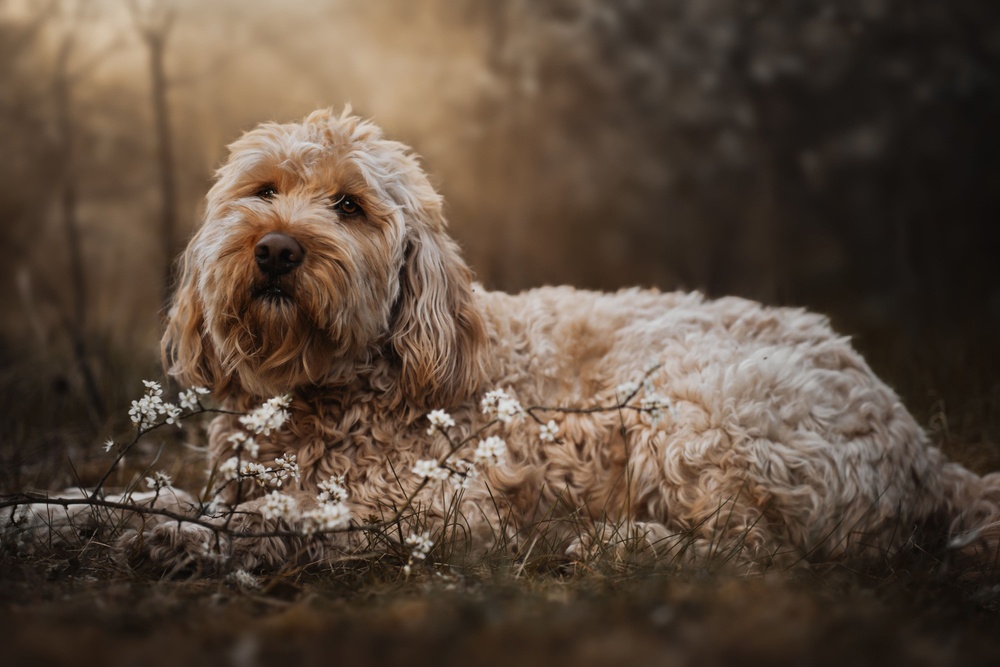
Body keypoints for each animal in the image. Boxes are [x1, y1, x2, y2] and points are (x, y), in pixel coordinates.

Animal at [121, 108, 996, 576]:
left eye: (349, 205)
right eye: (263, 190)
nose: (275, 249)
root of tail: (924, 451)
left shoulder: (445, 508)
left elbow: (294, 511)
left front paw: (189, 536)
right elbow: (182, 498)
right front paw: (118, 513)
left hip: (688, 400)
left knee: (752, 550)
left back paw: (612, 541)